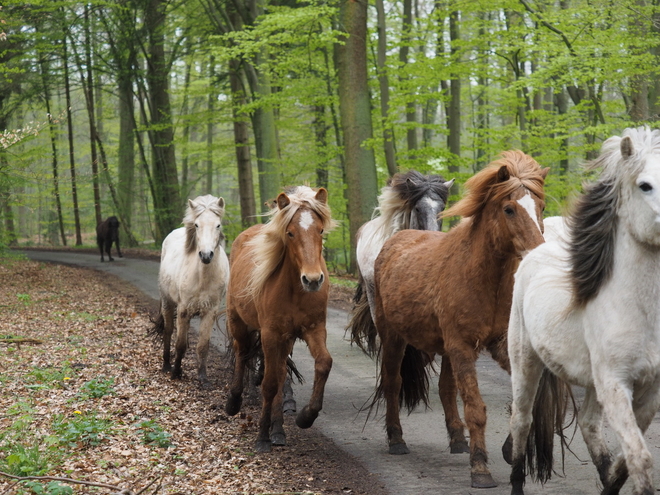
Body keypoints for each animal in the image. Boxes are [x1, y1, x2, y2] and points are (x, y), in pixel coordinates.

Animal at [154, 194, 231, 388]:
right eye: (196, 225)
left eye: (218, 225)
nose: (206, 255)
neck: (202, 277)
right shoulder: (183, 310)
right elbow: (180, 344)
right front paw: (176, 372)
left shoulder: (210, 312)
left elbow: (203, 345)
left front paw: (202, 377)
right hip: (167, 303)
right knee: (168, 331)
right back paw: (167, 365)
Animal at [226, 185, 338, 454]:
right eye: (290, 233)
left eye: (320, 230)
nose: (313, 279)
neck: (295, 291)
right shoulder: (270, 334)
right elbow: (268, 384)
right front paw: (262, 437)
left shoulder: (313, 329)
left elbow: (323, 363)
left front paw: (306, 417)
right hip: (239, 322)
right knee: (242, 353)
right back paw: (233, 402)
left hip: (285, 339)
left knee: (278, 372)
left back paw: (278, 430)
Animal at [354, 150, 548, 488]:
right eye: (509, 208)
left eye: (541, 207)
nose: (538, 253)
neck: (482, 278)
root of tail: (394, 241)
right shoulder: (462, 347)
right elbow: (475, 408)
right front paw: (480, 468)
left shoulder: (498, 346)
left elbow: (522, 400)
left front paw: (509, 448)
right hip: (393, 337)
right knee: (393, 382)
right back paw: (396, 440)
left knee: (445, 388)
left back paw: (458, 439)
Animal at [506, 128, 660, 495]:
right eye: (645, 185)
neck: (640, 313)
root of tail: (533, 254)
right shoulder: (616, 384)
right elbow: (639, 458)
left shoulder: (649, 390)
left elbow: (625, 460)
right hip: (525, 361)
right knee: (521, 420)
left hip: (591, 383)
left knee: (590, 426)